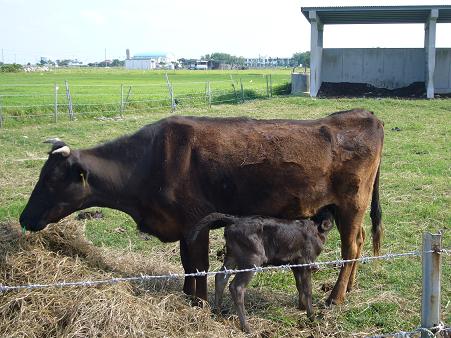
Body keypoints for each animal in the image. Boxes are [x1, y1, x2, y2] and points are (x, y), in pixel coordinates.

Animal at [19, 109, 384, 304]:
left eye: (51, 180)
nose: (23, 218)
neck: (150, 162)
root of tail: (363, 114)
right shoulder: (184, 227)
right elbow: (186, 264)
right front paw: (187, 296)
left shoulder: (197, 222)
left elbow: (198, 265)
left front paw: (200, 302)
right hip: (345, 208)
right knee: (360, 241)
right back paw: (348, 288)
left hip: (352, 203)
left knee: (351, 248)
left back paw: (335, 297)